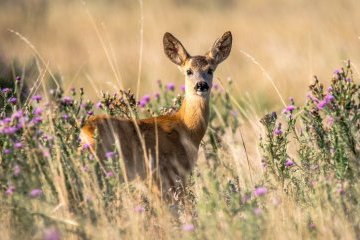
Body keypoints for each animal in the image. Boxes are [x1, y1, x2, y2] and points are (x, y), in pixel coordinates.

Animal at [80, 31, 232, 198]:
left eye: (210, 70)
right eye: (188, 71)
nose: (201, 85)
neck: (186, 128)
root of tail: (85, 131)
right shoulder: (168, 174)